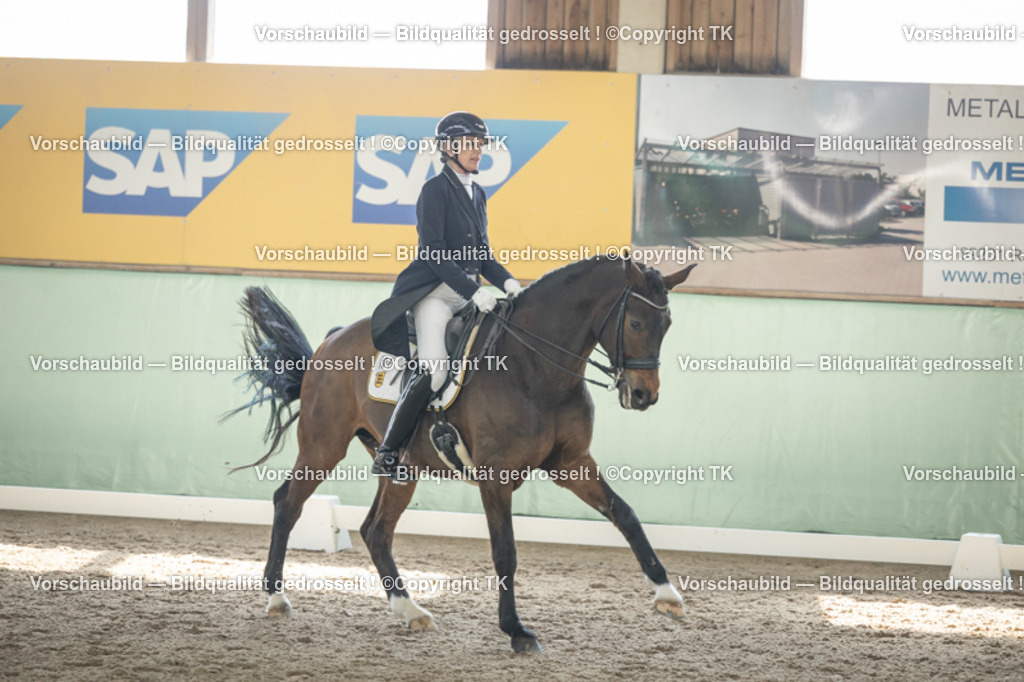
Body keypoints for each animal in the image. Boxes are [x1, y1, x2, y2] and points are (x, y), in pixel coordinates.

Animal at [227, 255, 697, 653]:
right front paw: (517, 631)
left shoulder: (572, 463)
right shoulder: (497, 476)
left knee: (375, 530)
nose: (644, 395)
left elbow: (625, 514)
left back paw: (410, 610)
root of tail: (332, 340)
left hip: (402, 467)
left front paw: (667, 593)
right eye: (635, 322)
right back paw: (276, 598)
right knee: (288, 503)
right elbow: (505, 551)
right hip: (323, 444)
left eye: (667, 323)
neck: (535, 367)